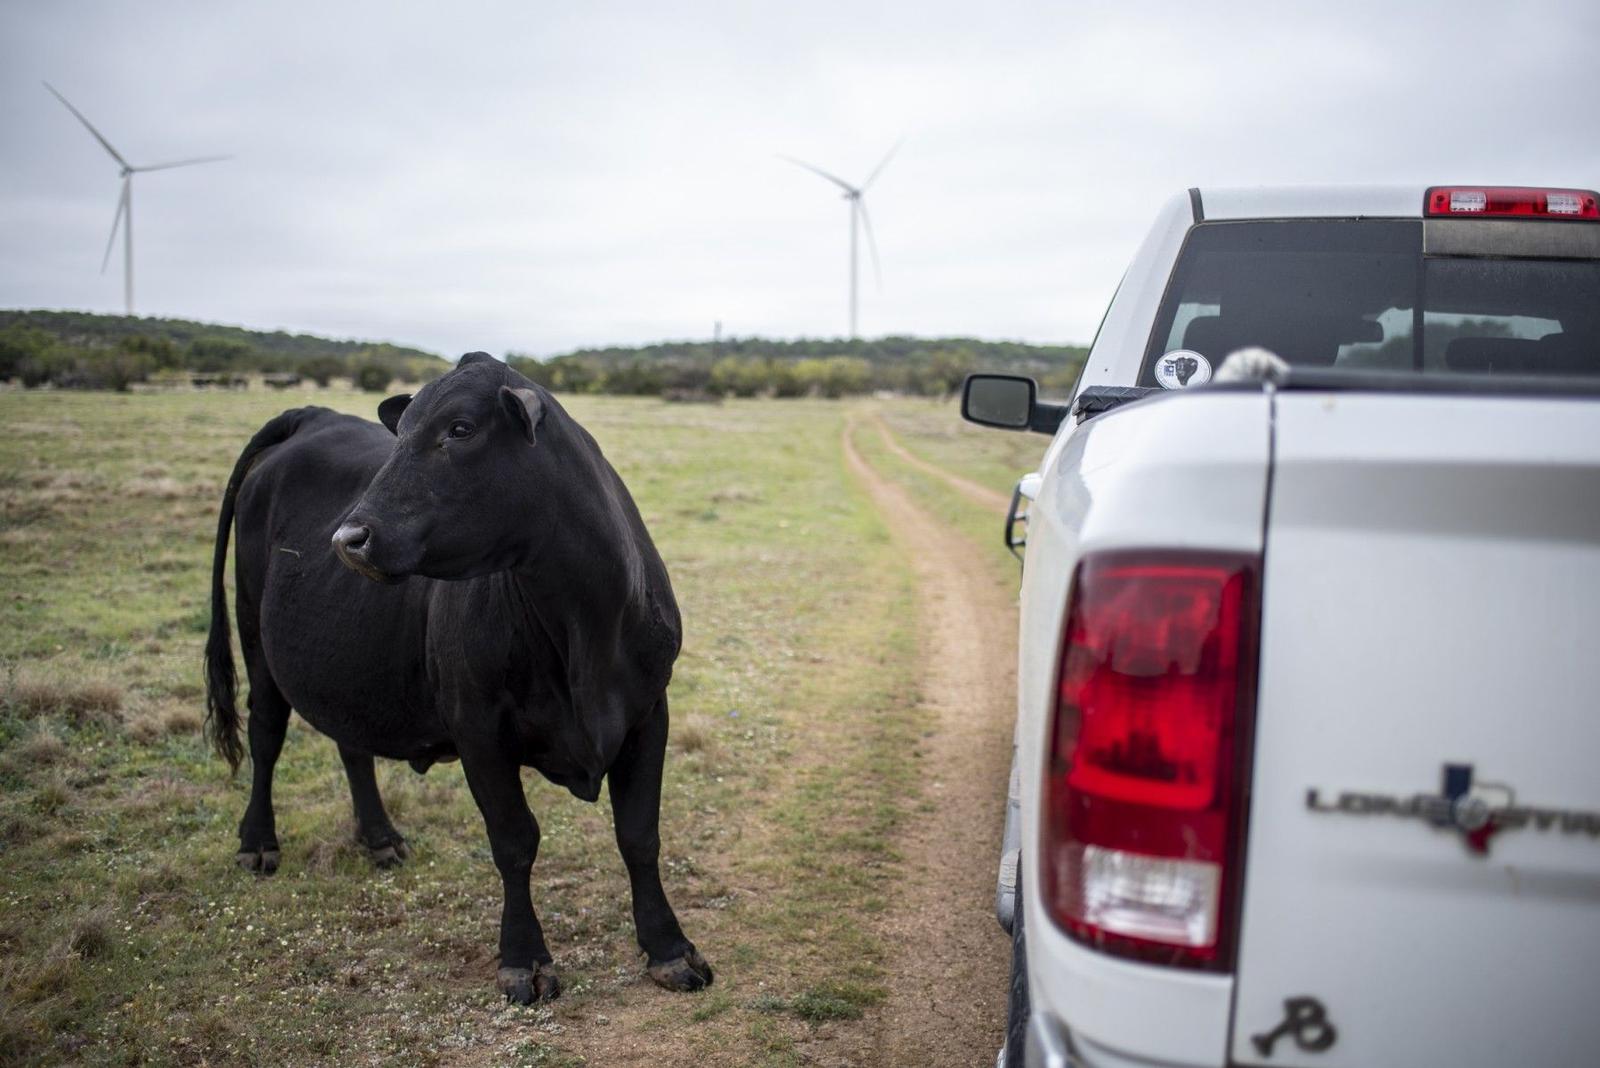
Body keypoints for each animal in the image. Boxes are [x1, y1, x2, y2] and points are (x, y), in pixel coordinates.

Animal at [203, 352, 712, 1003]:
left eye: (461, 429)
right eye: (403, 429)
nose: (347, 538)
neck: (584, 630)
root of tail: (311, 415)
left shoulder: (648, 712)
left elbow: (640, 835)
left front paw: (670, 948)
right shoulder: (478, 728)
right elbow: (515, 841)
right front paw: (524, 959)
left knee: (350, 742)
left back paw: (379, 837)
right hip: (254, 631)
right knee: (266, 734)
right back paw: (257, 844)